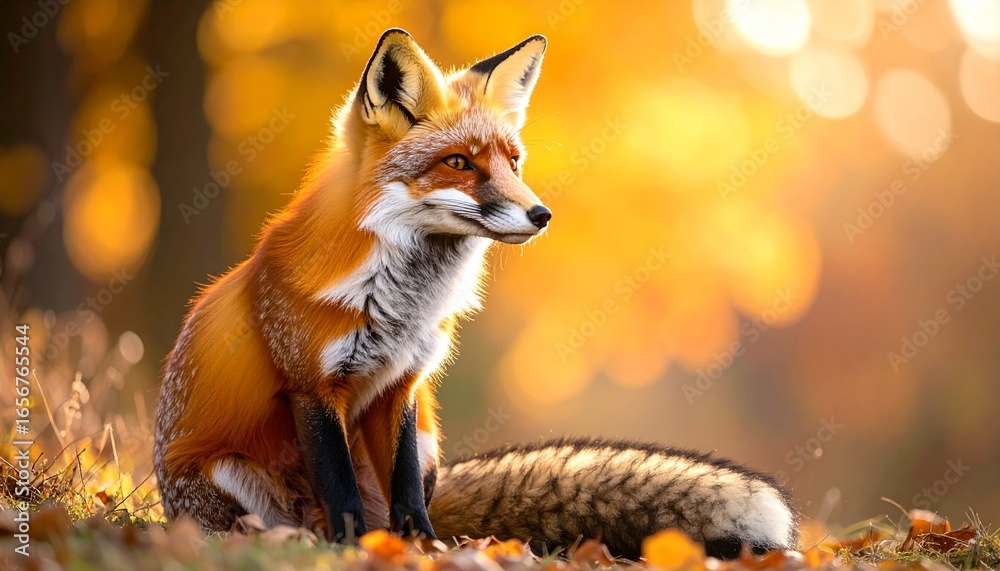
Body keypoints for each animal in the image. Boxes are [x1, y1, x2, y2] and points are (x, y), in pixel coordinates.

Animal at [154, 29, 798, 560]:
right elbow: (342, 494)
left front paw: (421, 550)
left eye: (514, 161)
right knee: (293, 518)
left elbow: (408, 496)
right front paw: (356, 550)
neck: (401, 303)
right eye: (459, 163)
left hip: (430, 437)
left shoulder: (404, 383)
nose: (541, 215)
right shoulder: (312, 386)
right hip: (230, 477)